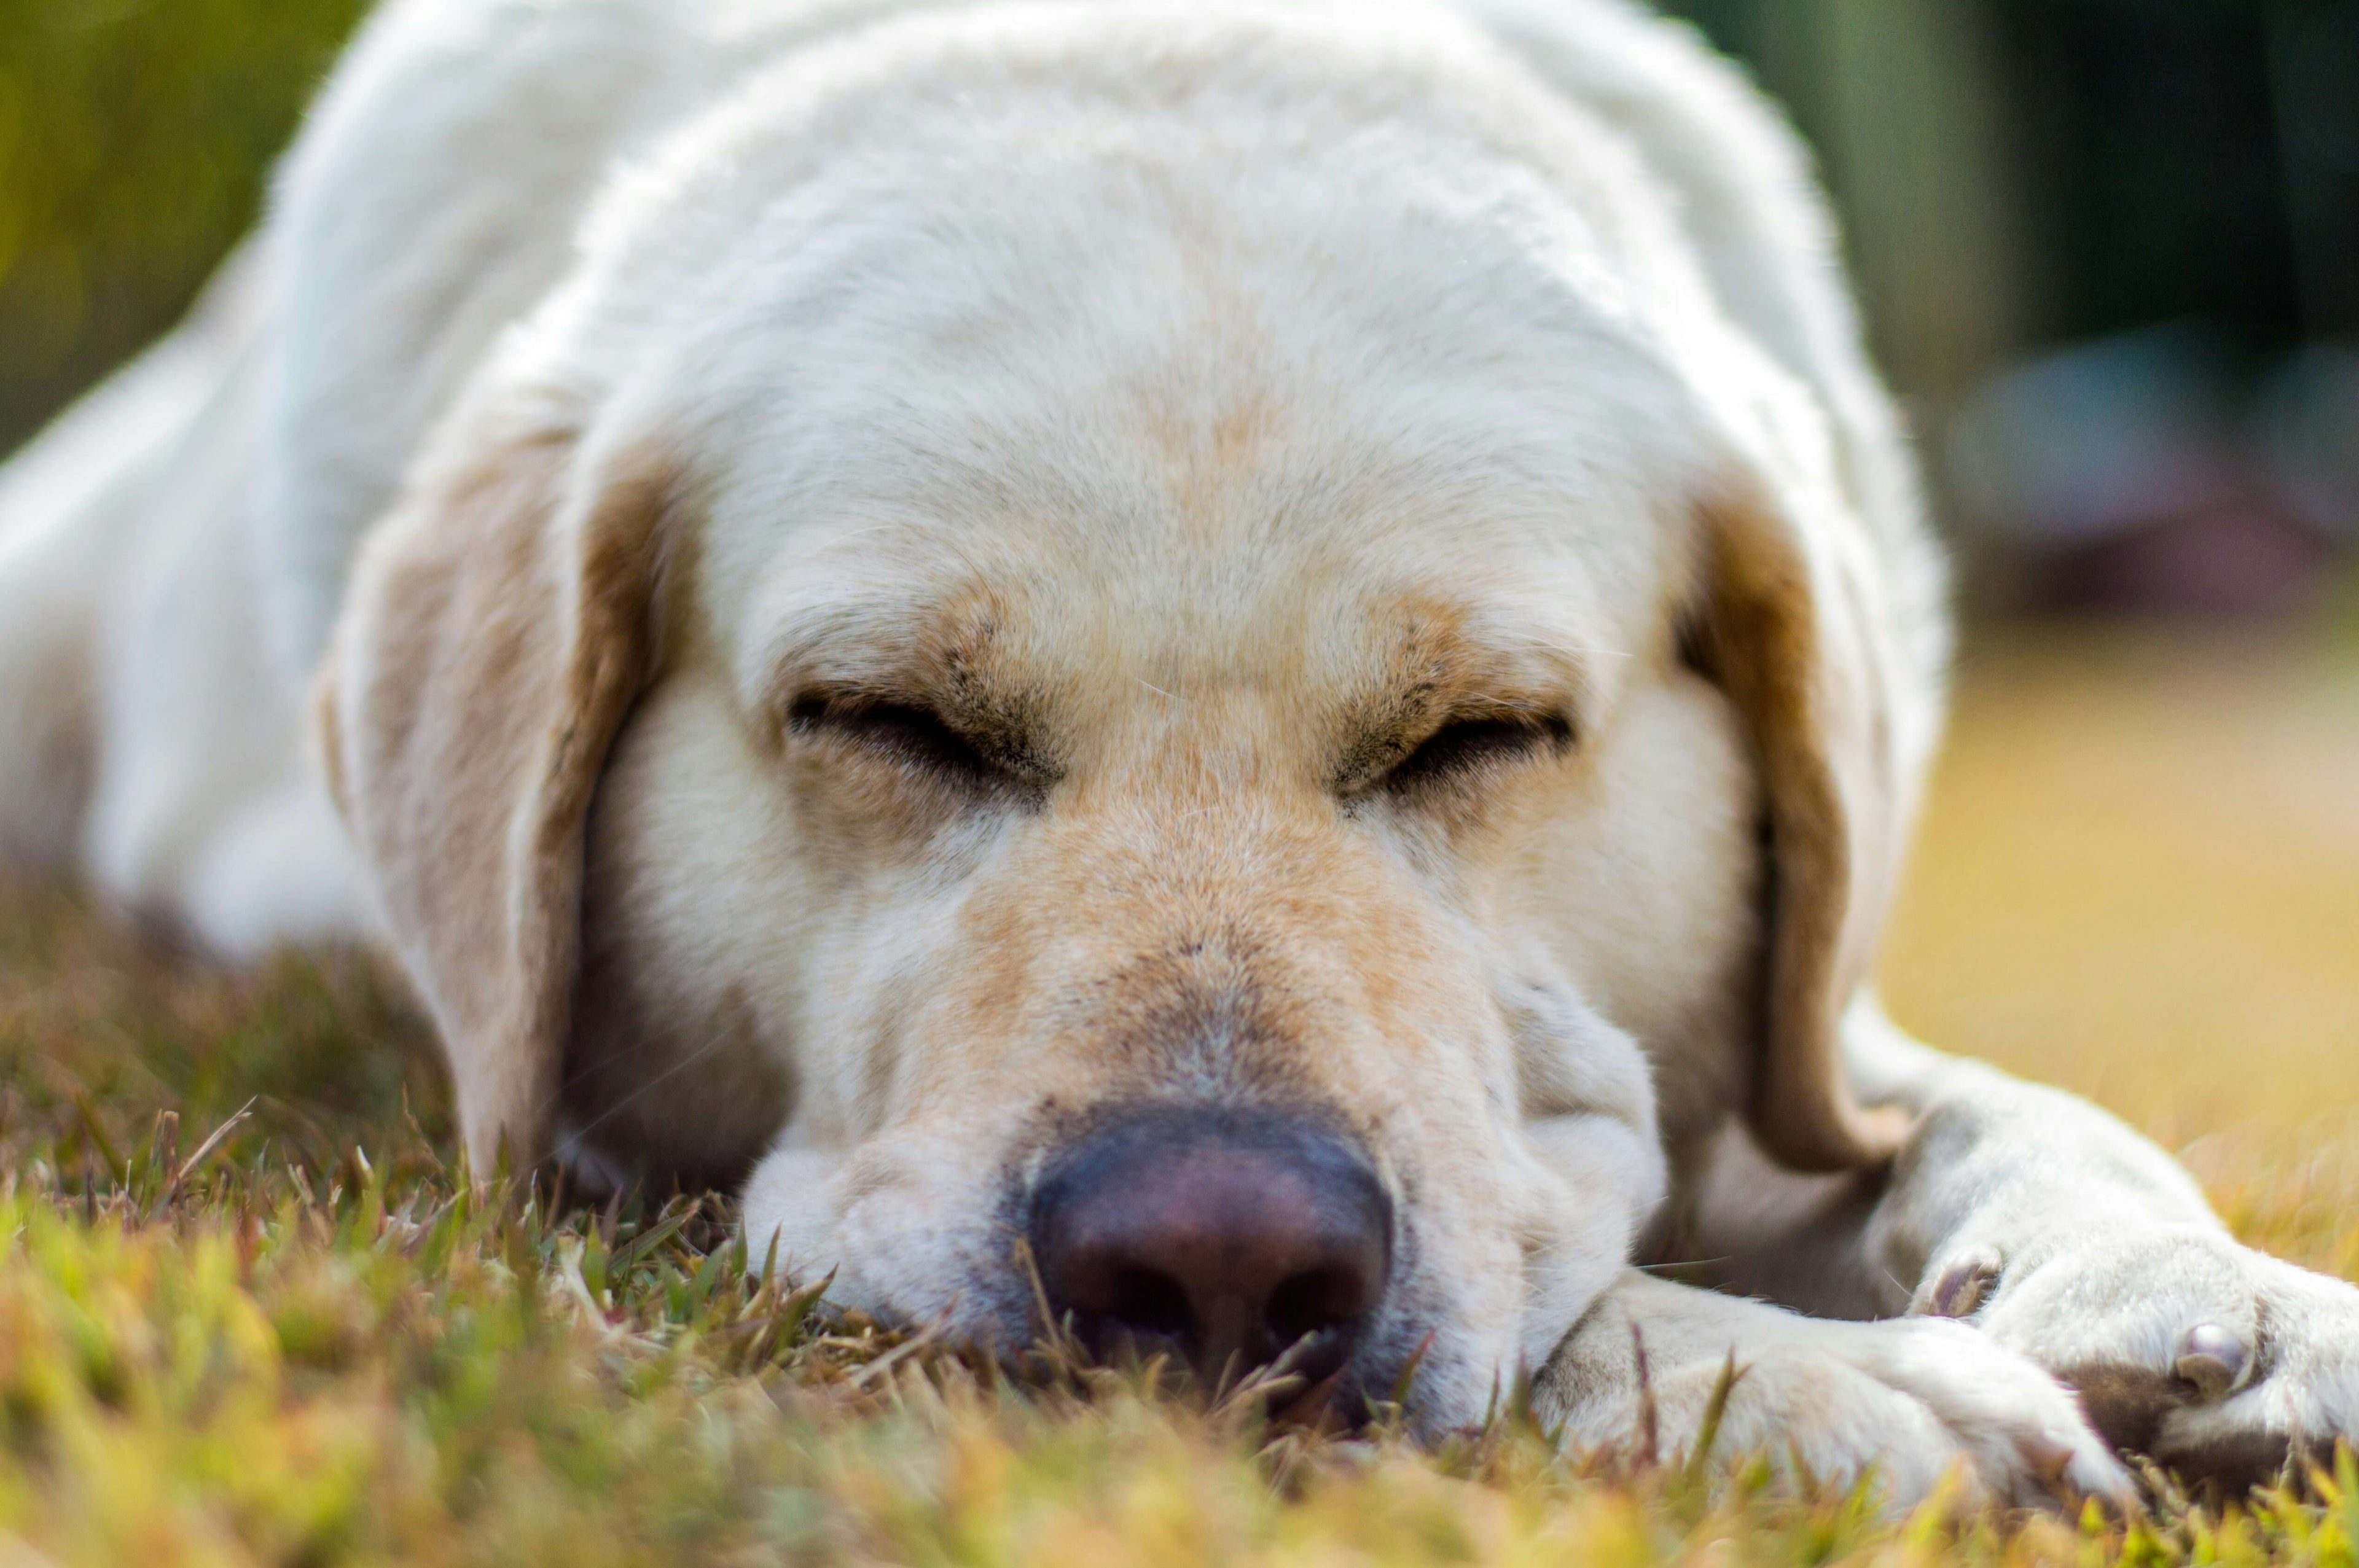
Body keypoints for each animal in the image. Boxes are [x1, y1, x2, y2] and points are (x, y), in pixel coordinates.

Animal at [0, 0, 2349, 1509]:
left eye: (1484, 730)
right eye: (888, 716)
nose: (1214, 1265)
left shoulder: (1770, 1045)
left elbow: (1943, 1104)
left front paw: (2178, 1277)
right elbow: (1564, 1269)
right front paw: (1810, 1384)